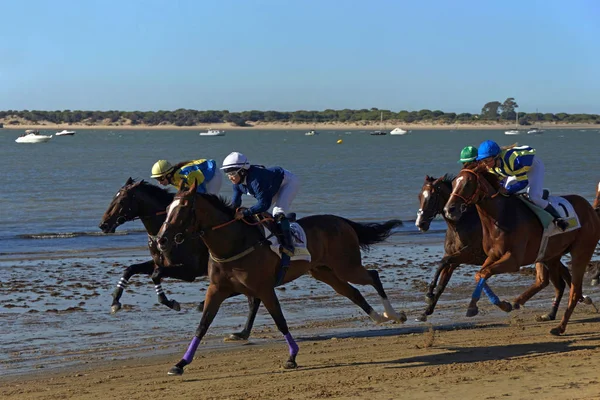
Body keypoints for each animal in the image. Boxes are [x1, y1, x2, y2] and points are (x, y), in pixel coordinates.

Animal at [98, 178, 260, 340]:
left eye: (122, 200)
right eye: (114, 197)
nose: (103, 225)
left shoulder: (190, 271)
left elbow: (156, 275)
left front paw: (171, 302)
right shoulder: (159, 263)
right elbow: (131, 269)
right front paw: (115, 302)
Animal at [157, 180, 406, 376]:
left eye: (184, 208)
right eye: (167, 207)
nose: (161, 239)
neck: (234, 243)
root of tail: (343, 221)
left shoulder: (264, 288)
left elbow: (280, 321)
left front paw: (292, 357)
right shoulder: (217, 289)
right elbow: (202, 325)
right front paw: (180, 364)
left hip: (346, 266)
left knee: (373, 276)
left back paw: (393, 314)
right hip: (325, 272)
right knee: (352, 292)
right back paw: (378, 317)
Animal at [414, 175, 588, 322]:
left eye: (432, 197)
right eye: (419, 196)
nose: (420, 223)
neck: (462, 222)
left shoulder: (469, 254)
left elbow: (444, 262)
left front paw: (429, 293)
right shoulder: (457, 258)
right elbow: (443, 281)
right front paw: (426, 311)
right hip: (549, 253)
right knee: (561, 279)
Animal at [440, 164, 600, 336]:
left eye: (468, 183)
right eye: (454, 182)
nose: (449, 209)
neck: (500, 216)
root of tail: (590, 209)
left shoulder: (513, 260)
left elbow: (484, 273)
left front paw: (500, 305)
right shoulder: (492, 256)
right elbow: (480, 274)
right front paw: (477, 306)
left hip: (581, 252)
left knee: (574, 291)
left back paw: (560, 327)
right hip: (551, 255)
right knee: (555, 283)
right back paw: (528, 305)